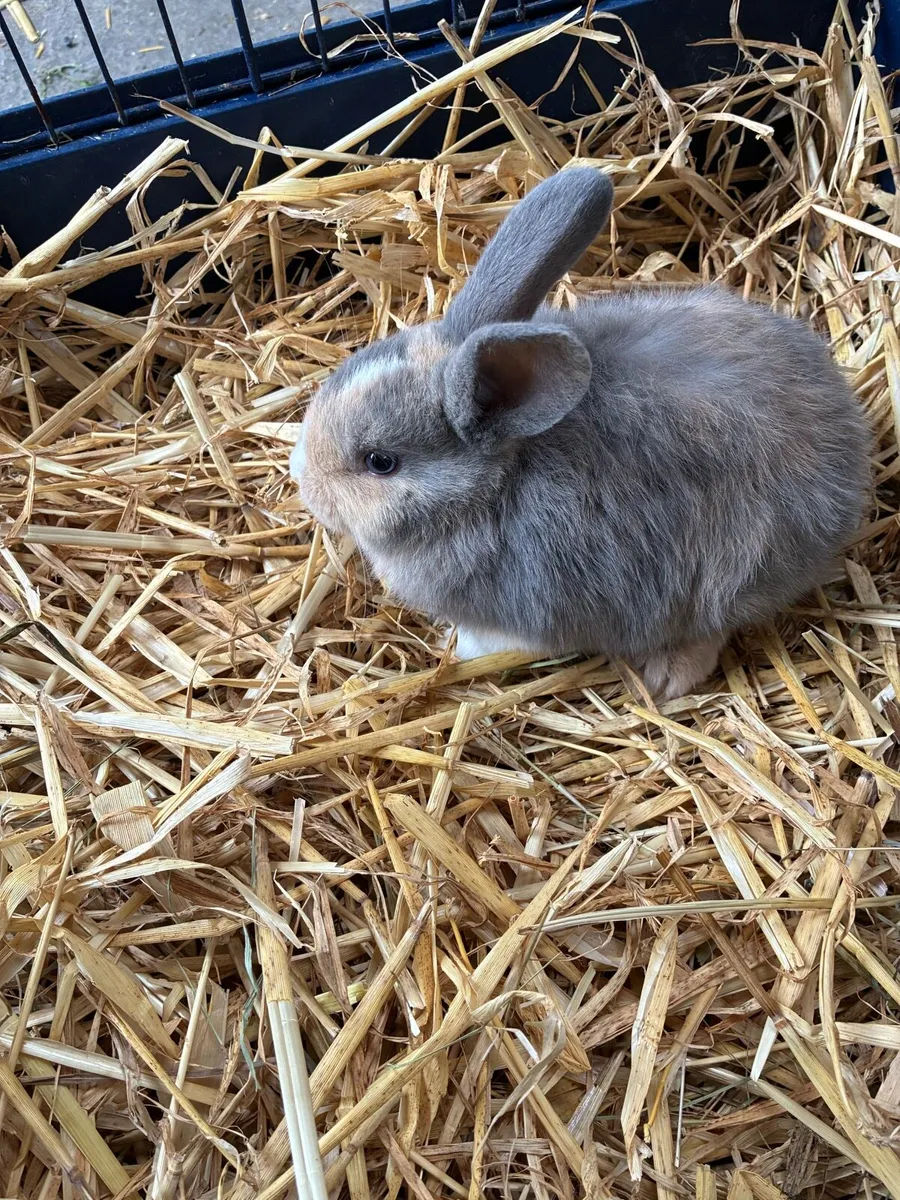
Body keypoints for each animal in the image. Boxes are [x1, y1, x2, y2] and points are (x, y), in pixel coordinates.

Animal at [291, 167, 870, 699]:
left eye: (380, 461)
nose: (303, 482)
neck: (492, 485)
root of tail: (850, 452)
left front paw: (459, 649)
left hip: (727, 577)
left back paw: (665, 678)